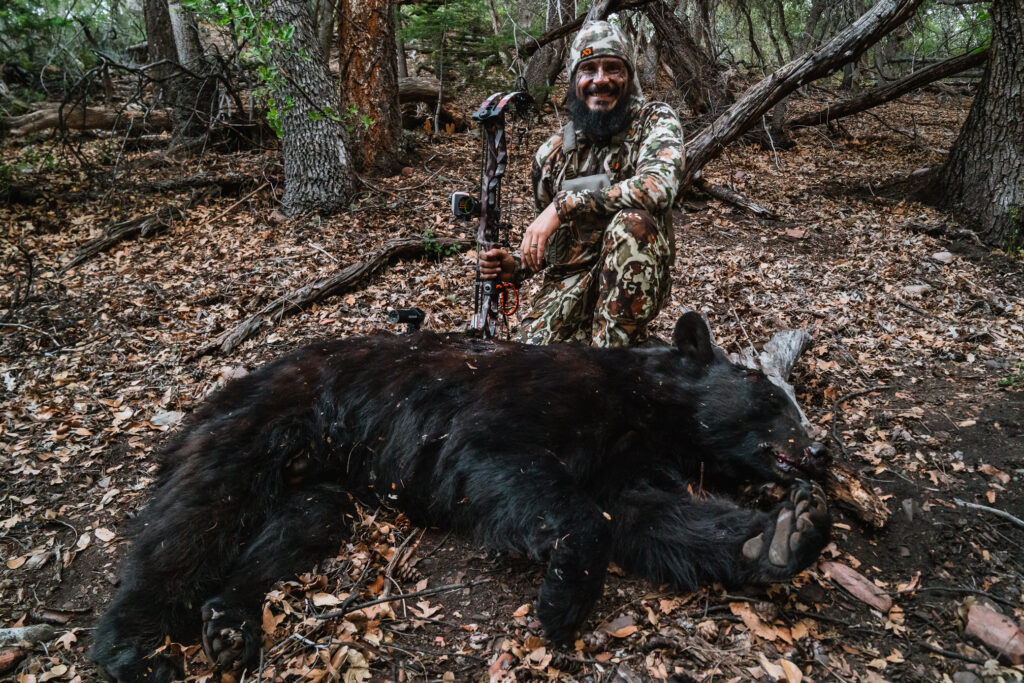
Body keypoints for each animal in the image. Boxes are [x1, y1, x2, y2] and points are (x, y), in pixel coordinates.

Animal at [91, 313, 831, 682]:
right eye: (770, 397)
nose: (822, 451)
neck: (649, 410)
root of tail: (220, 388)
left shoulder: (628, 467)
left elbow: (656, 519)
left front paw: (783, 534)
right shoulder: (517, 414)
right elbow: (515, 474)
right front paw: (560, 601)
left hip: (319, 485)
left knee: (295, 528)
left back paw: (229, 621)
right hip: (259, 427)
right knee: (193, 521)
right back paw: (134, 648)